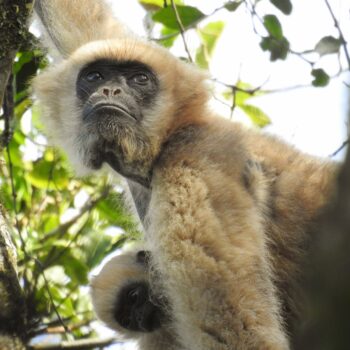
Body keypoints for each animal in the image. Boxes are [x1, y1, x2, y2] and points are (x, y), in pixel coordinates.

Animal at [33, 1, 340, 348]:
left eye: (139, 79)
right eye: (95, 76)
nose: (110, 90)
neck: (172, 137)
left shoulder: (195, 161)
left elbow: (239, 330)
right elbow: (81, 23)